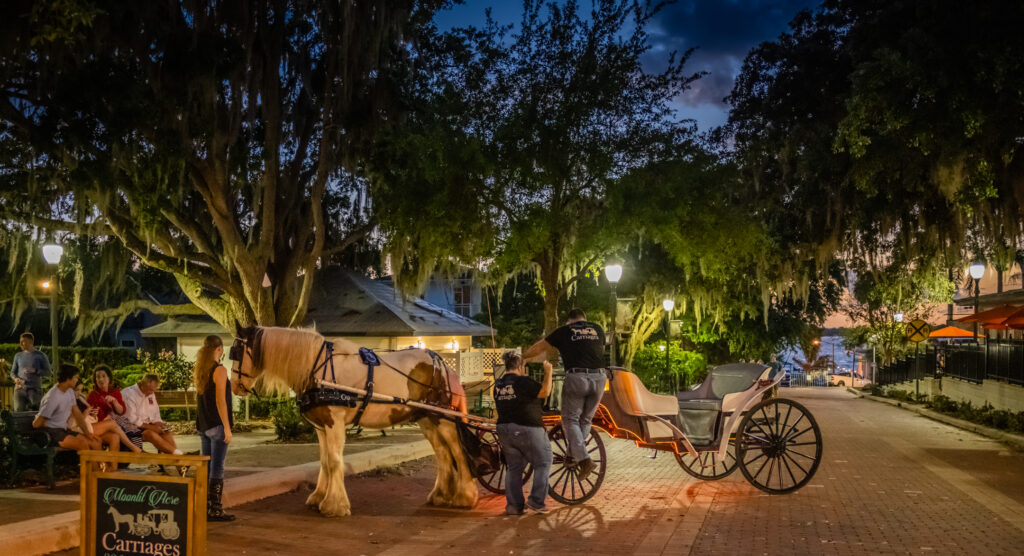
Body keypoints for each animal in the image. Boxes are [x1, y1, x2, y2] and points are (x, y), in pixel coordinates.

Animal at [230, 321, 477, 518]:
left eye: (237, 352)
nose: (234, 386)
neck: (317, 367)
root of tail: (443, 364)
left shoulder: (335, 423)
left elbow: (334, 461)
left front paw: (334, 505)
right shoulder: (321, 427)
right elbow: (324, 461)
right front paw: (319, 496)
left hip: (445, 419)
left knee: (457, 451)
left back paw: (465, 497)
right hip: (427, 418)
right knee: (443, 453)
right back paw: (440, 495)